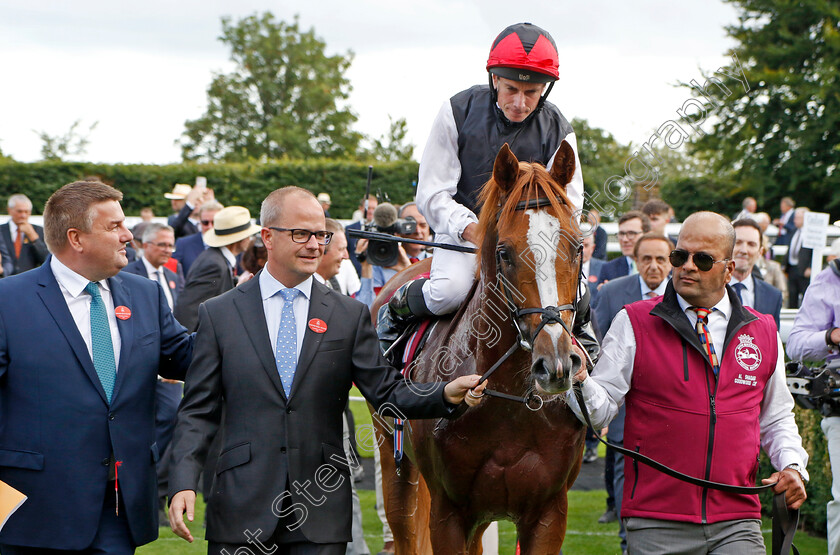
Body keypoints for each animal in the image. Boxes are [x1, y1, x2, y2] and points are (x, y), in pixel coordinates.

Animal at [370, 142, 588, 555]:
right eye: (504, 252)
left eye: (578, 246)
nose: (553, 365)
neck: (513, 404)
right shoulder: (449, 514)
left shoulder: (549, 513)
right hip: (395, 462)